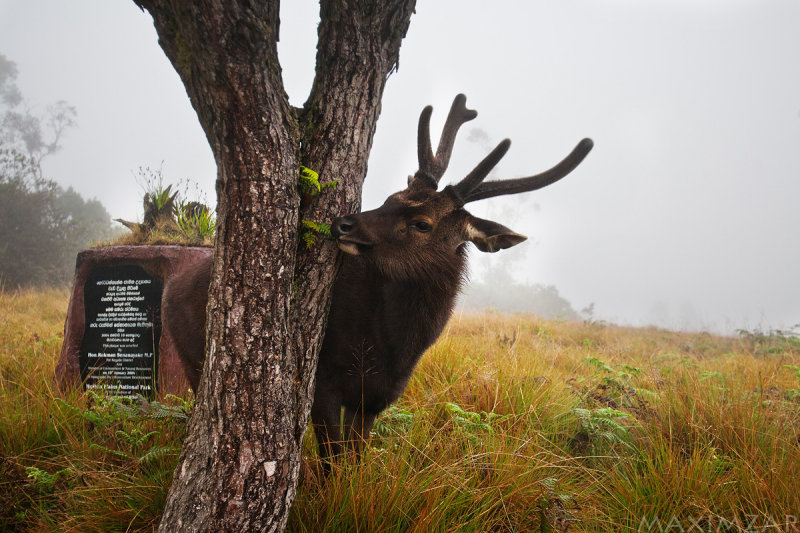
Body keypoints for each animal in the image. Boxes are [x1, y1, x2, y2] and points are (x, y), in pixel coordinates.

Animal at [162, 94, 592, 462]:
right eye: (391, 197)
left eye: (422, 222)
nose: (343, 223)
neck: (391, 347)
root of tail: (170, 284)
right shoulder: (323, 379)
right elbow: (334, 460)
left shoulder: (378, 397)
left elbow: (356, 458)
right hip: (191, 359)